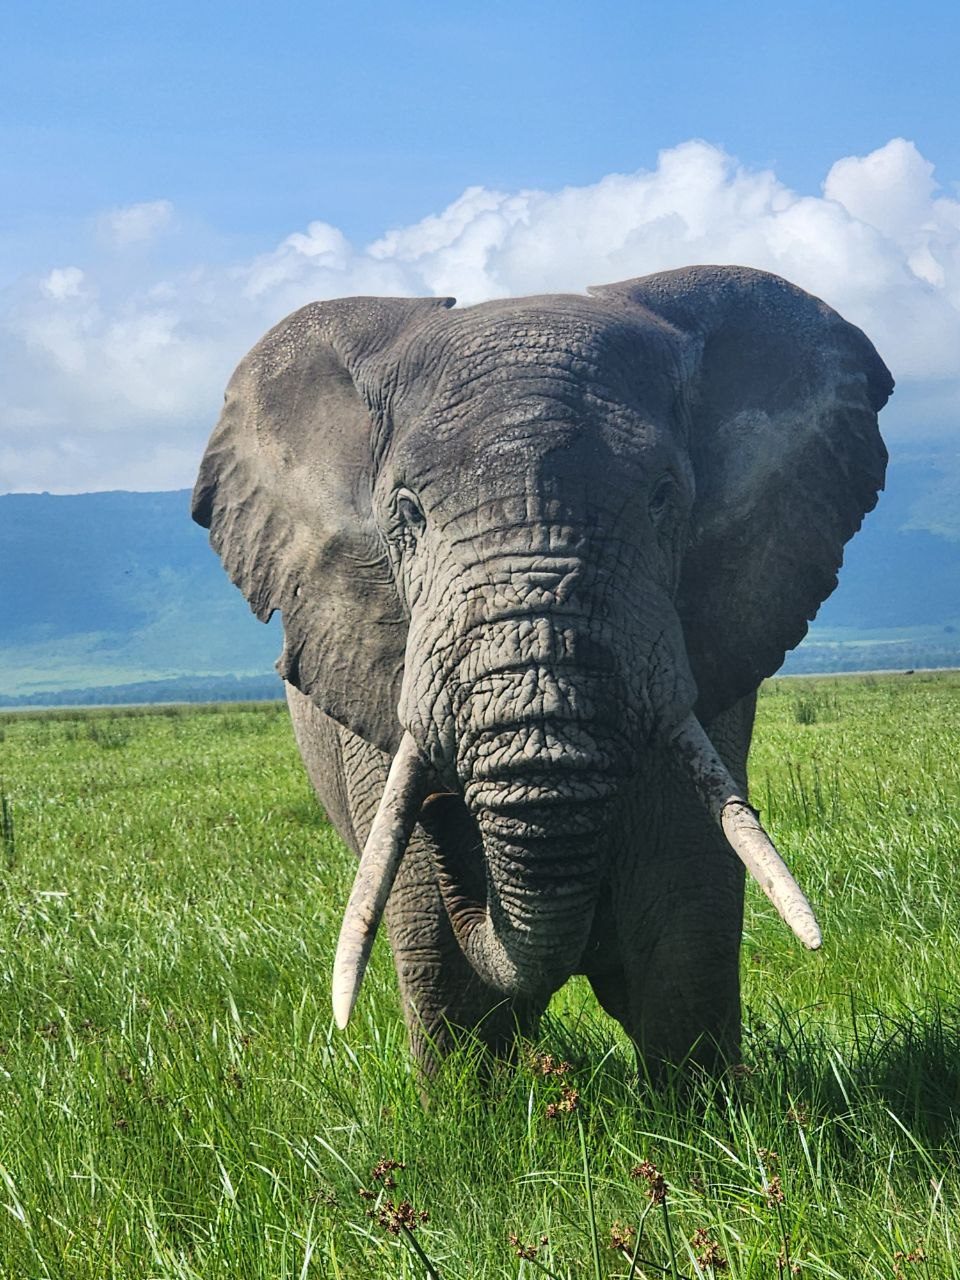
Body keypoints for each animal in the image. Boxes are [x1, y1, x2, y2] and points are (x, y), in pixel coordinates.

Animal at [192, 265, 892, 1078]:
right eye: (408, 513)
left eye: (663, 498)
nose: (444, 810)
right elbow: (443, 957)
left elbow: (682, 920)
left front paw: (701, 1106)